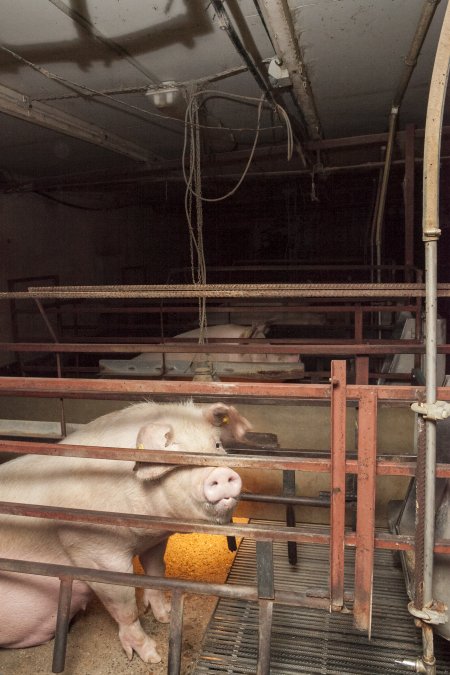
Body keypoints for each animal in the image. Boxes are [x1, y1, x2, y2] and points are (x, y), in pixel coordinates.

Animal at [0, 402, 251, 664]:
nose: (220, 473)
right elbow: (125, 606)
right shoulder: (95, 550)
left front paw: (164, 615)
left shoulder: (154, 542)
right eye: (173, 452)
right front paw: (153, 656)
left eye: (217, 445)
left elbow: (156, 572)